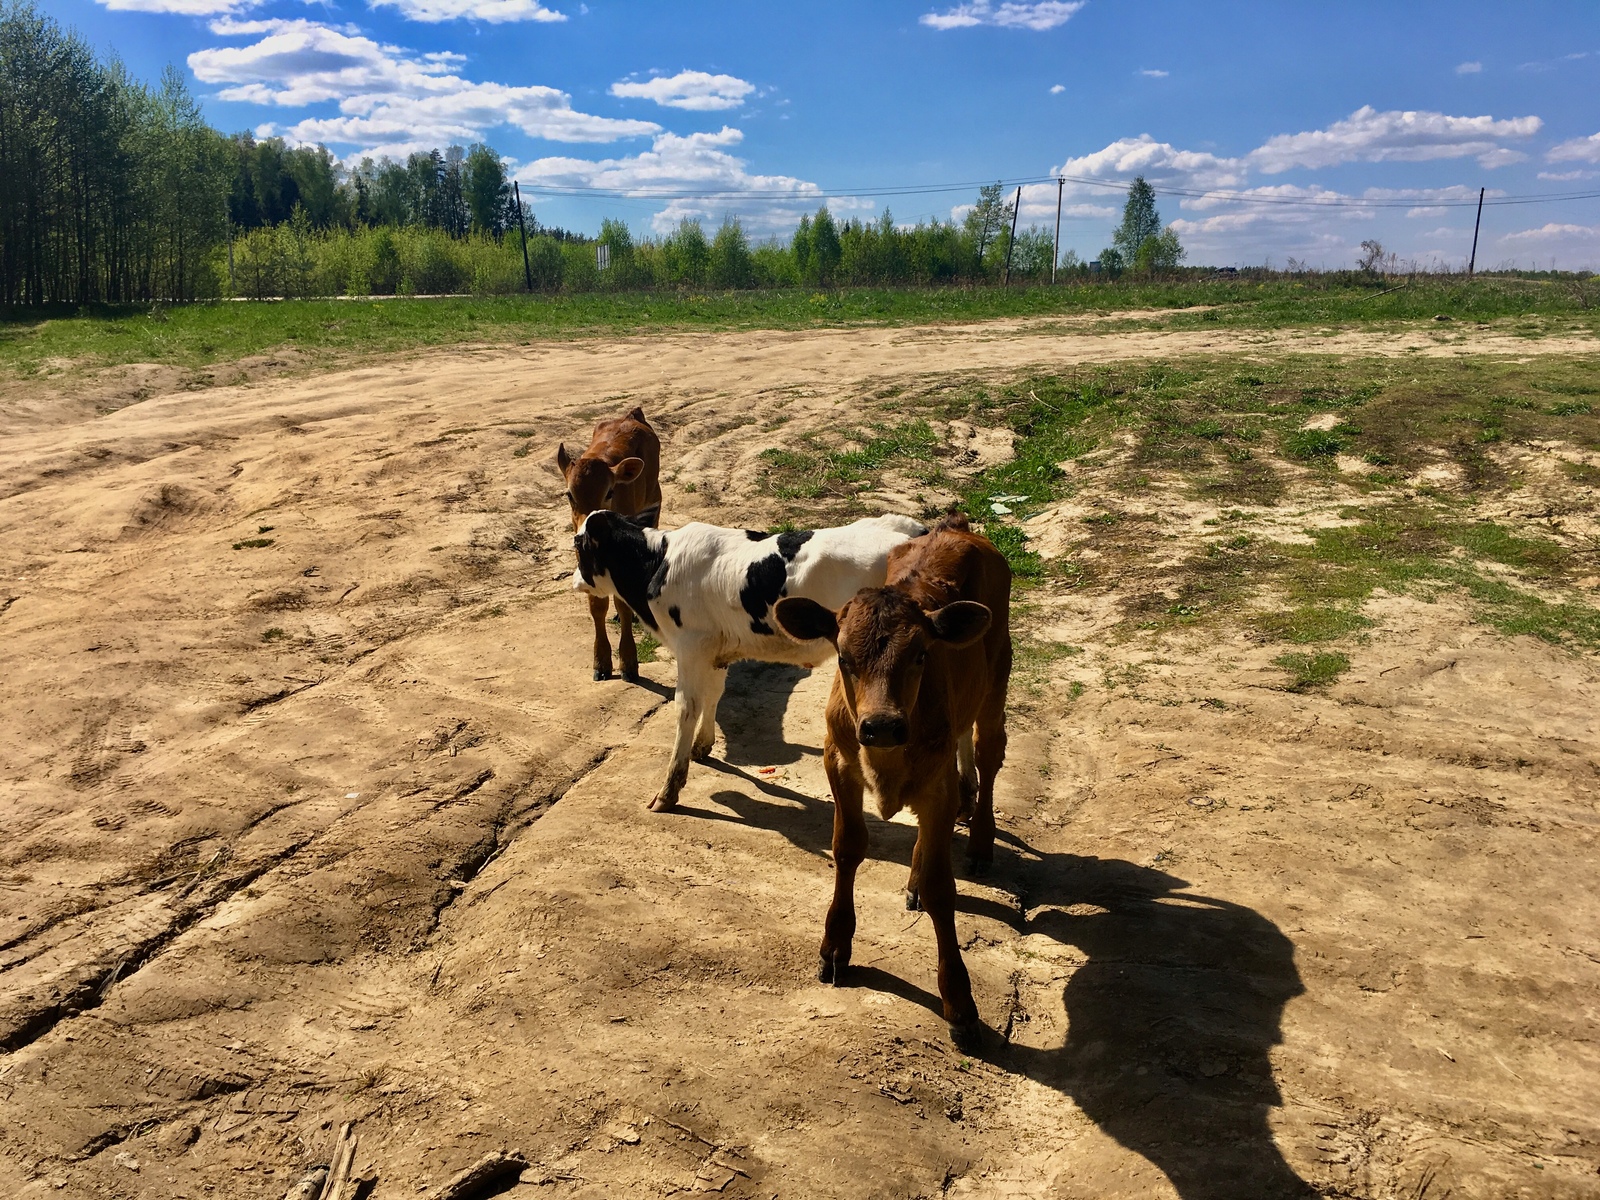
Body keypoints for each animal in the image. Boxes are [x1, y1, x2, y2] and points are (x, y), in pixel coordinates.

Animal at [556, 406, 662, 681]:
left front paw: (628, 662)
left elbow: (622, 604)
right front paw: (601, 661)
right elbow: (597, 605)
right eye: (569, 495)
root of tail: (632, 414)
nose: (585, 527)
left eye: (610, 492)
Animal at [572, 512, 928, 812]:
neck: (658, 564)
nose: (575, 581)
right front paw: (702, 747)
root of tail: (912, 530)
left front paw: (668, 792)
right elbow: (713, 695)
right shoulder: (714, 650)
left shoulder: (690, 646)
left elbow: (686, 708)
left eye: (578, 543)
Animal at [774, 518, 1011, 1049]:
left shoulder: (937, 784)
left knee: (988, 754)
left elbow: (944, 888)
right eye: (843, 657)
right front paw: (835, 946)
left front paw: (959, 1002)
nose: (881, 726)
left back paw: (980, 841)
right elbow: (846, 849)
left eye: (921, 654)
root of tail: (955, 527)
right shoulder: (839, 762)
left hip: (998, 677)